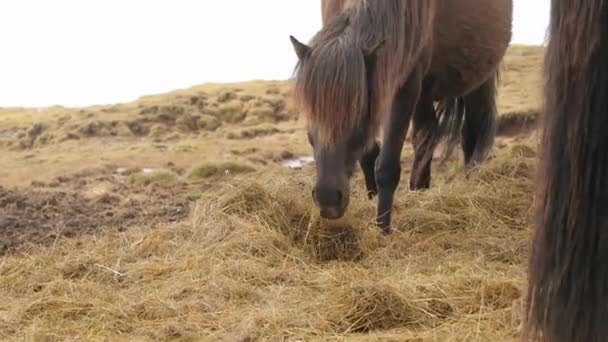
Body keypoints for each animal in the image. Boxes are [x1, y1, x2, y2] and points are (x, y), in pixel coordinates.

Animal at [290, 0, 512, 232]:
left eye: (357, 114)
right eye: (311, 114)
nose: (328, 200)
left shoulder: (404, 86)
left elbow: (386, 166)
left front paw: (382, 230)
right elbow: (369, 155)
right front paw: (372, 201)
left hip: (477, 82)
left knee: (472, 135)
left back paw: (469, 186)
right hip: (426, 93)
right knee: (425, 137)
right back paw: (419, 190)